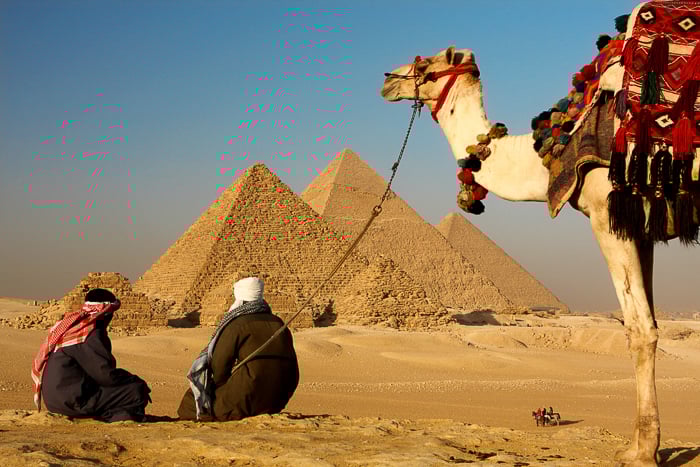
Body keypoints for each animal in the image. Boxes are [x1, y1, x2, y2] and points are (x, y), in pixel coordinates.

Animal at [379, 5, 682, 466]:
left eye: (425, 65)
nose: (387, 80)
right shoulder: (638, 220)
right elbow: (647, 322)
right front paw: (644, 444)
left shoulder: (606, 211)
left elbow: (639, 329)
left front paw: (641, 450)